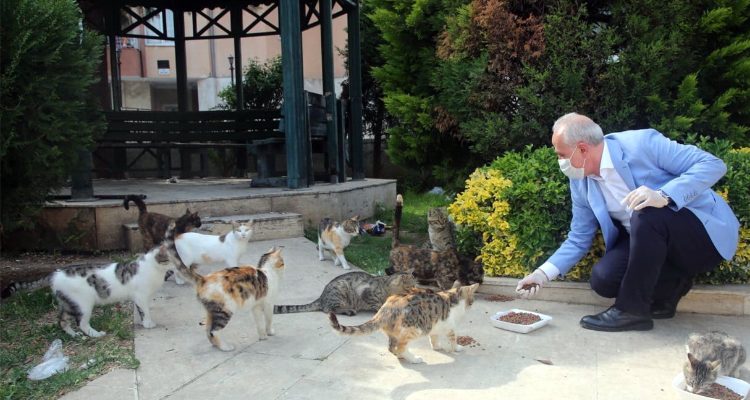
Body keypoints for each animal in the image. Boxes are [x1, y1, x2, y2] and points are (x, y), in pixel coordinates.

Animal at [274, 272, 420, 316]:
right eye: (410, 288)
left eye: (415, 287)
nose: (414, 293)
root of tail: (321, 297)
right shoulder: (366, 293)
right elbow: (378, 304)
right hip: (341, 289)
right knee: (329, 309)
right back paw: (349, 310)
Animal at [328, 282, 482, 362]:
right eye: (472, 300)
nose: (472, 305)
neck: (452, 296)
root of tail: (386, 307)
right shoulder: (450, 328)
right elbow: (453, 340)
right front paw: (457, 348)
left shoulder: (435, 326)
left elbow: (434, 338)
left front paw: (437, 347)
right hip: (413, 329)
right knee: (401, 347)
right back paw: (413, 358)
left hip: (395, 333)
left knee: (392, 348)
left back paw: (400, 354)